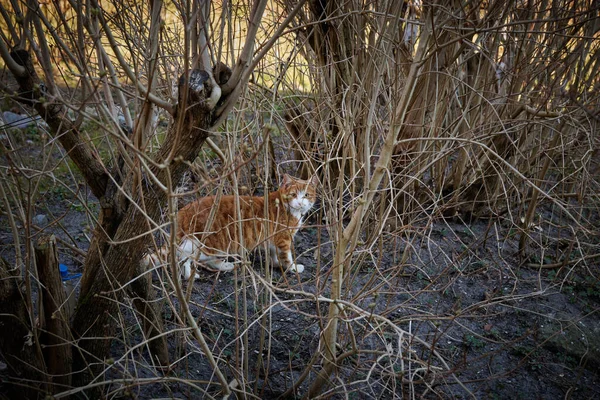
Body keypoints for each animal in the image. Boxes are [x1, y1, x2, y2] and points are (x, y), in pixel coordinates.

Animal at [144, 173, 318, 280]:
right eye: (294, 195)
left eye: (306, 195)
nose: (301, 203)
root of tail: (184, 210)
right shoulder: (283, 238)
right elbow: (286, 256)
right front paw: (292, 268)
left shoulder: (273, 239)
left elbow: (273, 253)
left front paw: (275, 264)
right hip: (213, 242)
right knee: (187, 256)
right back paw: (191, 273)